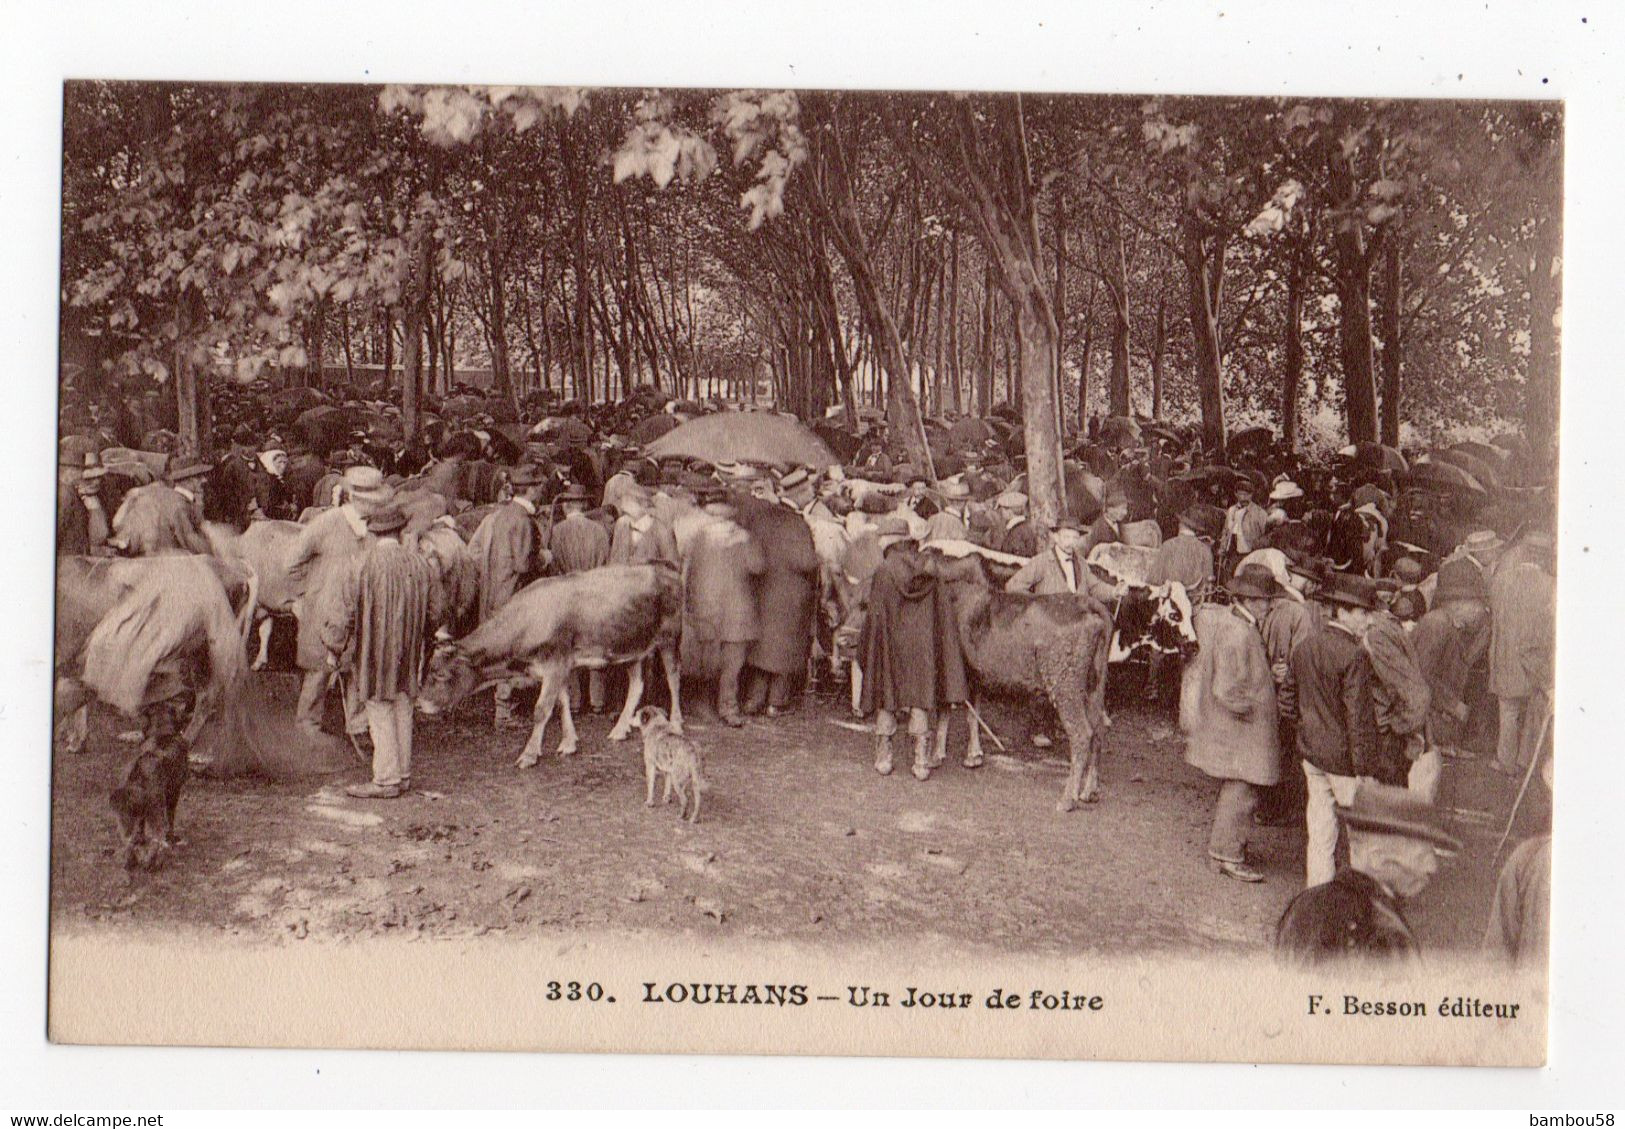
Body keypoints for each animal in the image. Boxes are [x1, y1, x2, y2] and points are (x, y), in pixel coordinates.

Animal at [416, 565, 682, 769]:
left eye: (440, 674)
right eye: (427, 670)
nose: (420, 703)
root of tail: (663, 568)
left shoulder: (555, 664)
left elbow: (541, 709)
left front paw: (529, 754)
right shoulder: (561, 666)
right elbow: (562, 702)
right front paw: (568, 742)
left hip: (670, 637)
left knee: (673, 678)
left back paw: (677, 723)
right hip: (631, 647)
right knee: (637, 684)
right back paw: (620, 728)